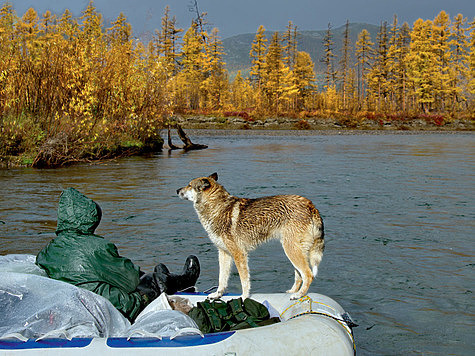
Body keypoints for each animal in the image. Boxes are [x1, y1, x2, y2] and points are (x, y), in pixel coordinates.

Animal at [177, 174, 326, 298]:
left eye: (189, 185)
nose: (177, 190)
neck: (218, 208)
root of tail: (310, 205)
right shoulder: (224, 254)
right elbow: (222, 279)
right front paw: (217, 295)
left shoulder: (239, 254)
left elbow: (244, 280)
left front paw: (244, 297)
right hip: (294, 251)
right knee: (300, 276)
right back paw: (293, 292)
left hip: (291, 250)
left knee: (308, 275)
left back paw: (299, 295)